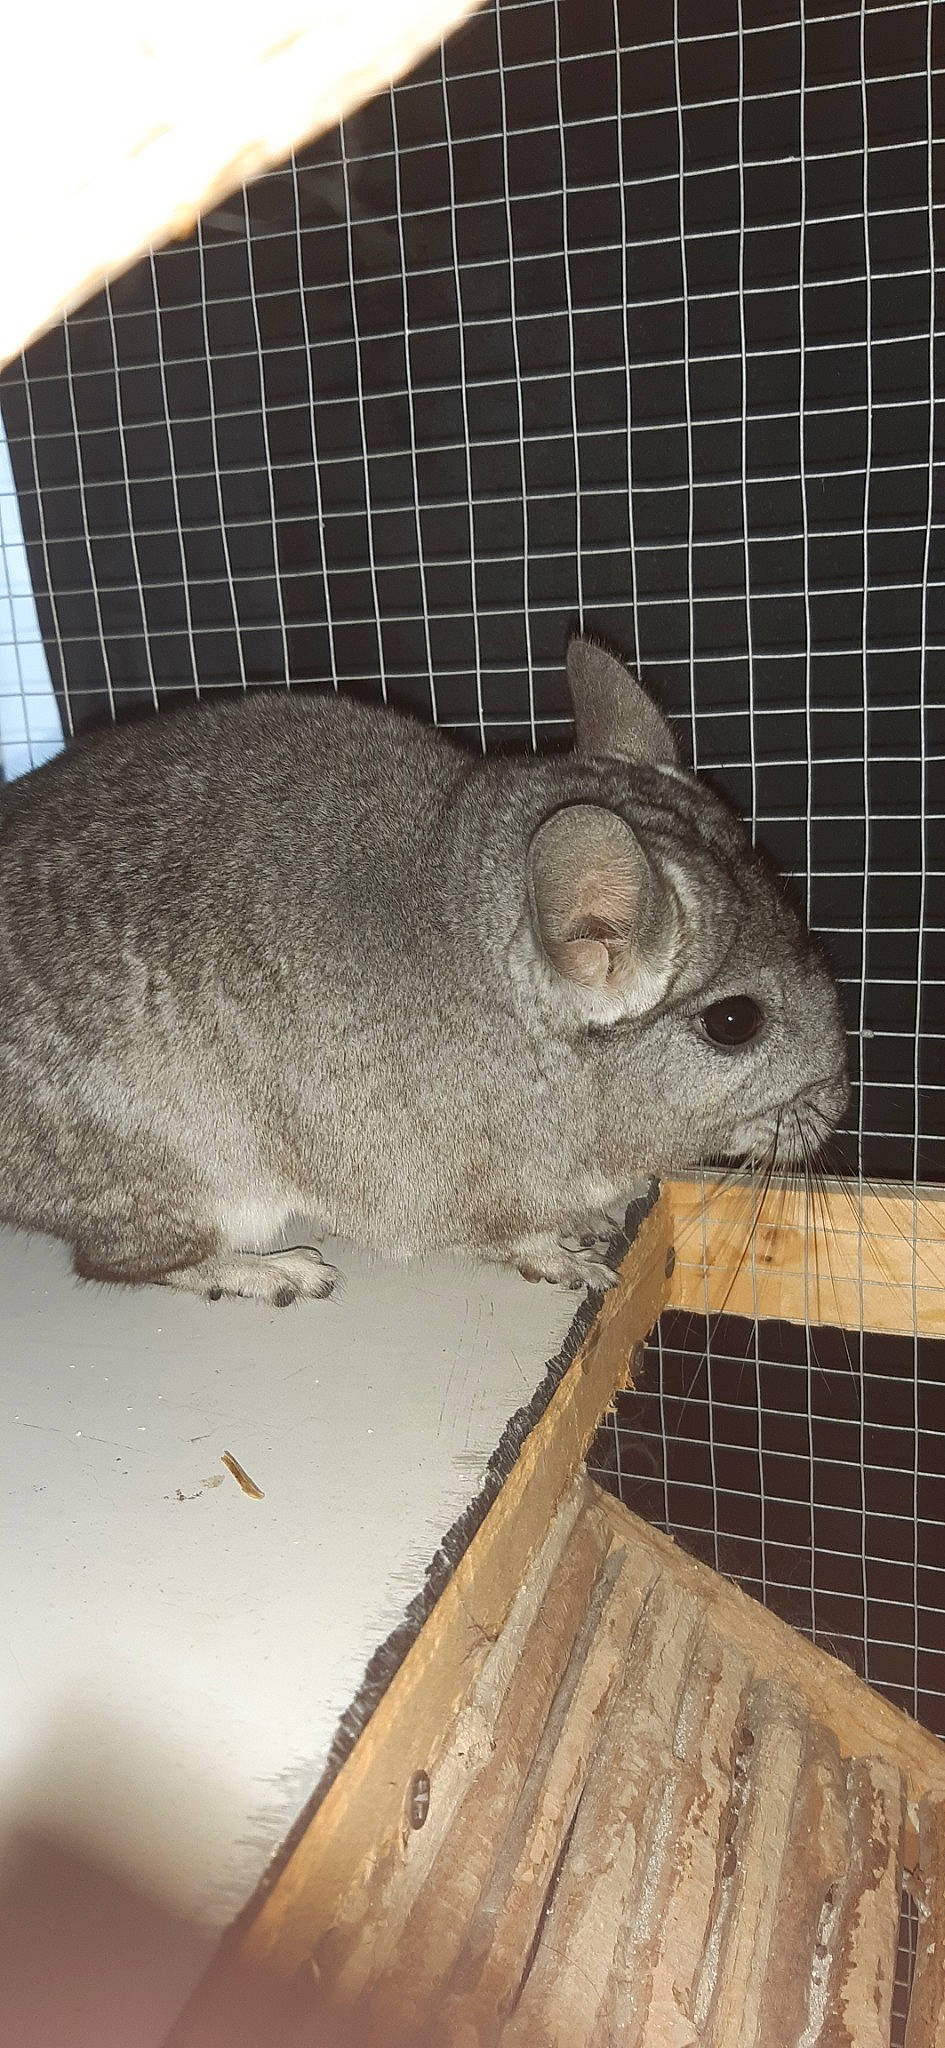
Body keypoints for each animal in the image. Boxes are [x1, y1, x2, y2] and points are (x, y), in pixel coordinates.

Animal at [0, 637, 848, 1306]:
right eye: (734, 1022)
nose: (839, 1102)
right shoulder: (437, 1194)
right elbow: (508, 1239)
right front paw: (568, 1261)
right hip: (190, 1172)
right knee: (119, 1261)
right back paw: (276, 1273)